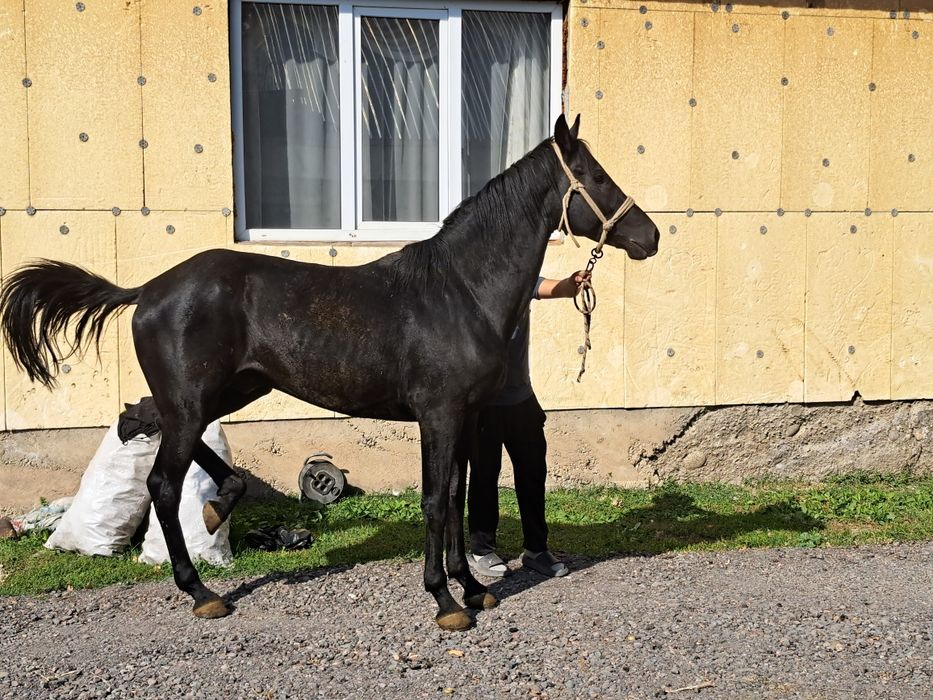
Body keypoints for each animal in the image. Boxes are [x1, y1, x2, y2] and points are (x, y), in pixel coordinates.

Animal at [0, 114, 659, 631]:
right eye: (597, 177)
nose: (650, 236)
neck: (459, 290)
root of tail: (150, 289)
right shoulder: (438, 416)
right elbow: (433, 500)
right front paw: (445, 602)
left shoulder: (466, 418)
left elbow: (453, 496)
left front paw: (473, 589)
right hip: (194, 400)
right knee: (162, 481)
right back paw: (203, 592)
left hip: (230, 390)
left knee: (150, 425)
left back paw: (221, 506)